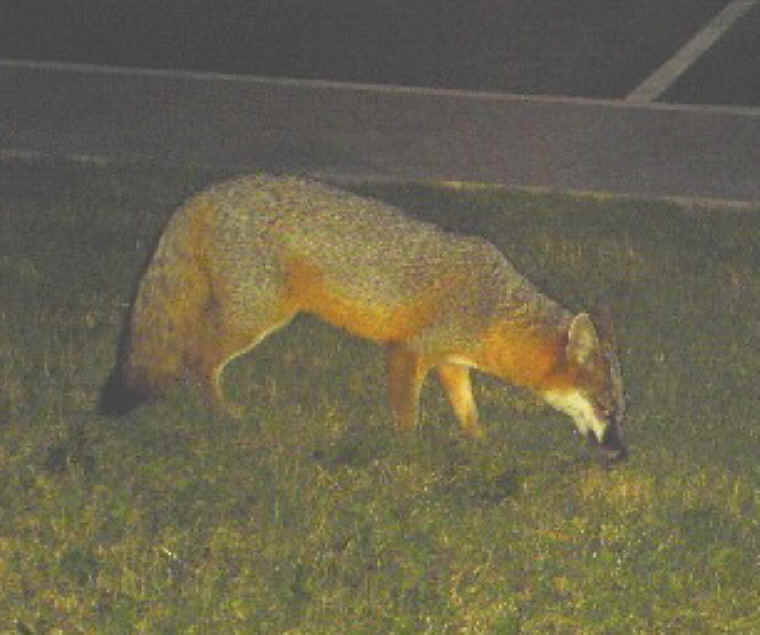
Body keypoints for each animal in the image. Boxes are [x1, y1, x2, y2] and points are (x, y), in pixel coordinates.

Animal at [99, 174, 626, 464]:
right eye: (604, 408)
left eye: (620, 411)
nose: (621, 455)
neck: (494, 307)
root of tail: (208, 191)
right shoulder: (407, 352)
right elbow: (406, 418)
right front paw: (408, 458)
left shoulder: (451, 362)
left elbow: (468, 412)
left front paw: (478, 444)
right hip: (255, 319)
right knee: (196, 359)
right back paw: (221, 415)